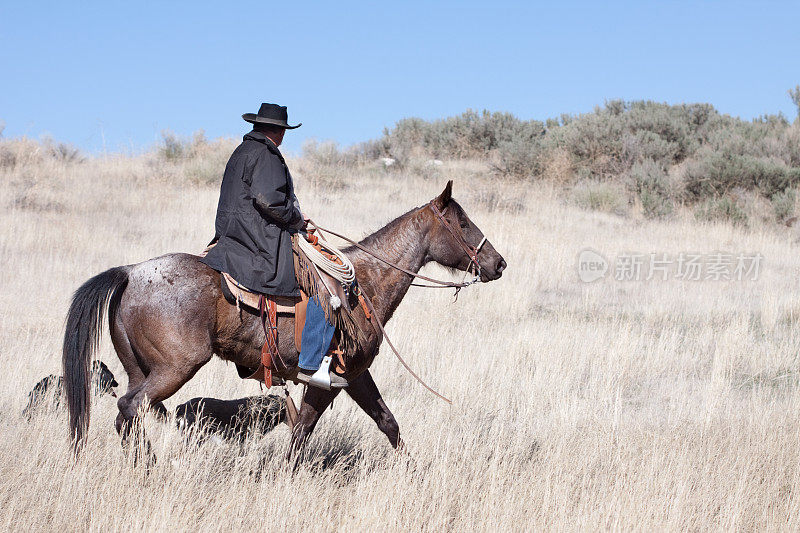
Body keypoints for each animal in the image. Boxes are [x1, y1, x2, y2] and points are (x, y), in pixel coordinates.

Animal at [67, 181, 506, 460]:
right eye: (462, 223)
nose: (498, 263)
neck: (364, 284)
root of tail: (130, 272)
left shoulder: (356, 375)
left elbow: (388, 423)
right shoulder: (330, 379)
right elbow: (301, 433)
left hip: (139, 369)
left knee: (127, 416)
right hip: (175, 368)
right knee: (131, 408)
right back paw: (150, 467)